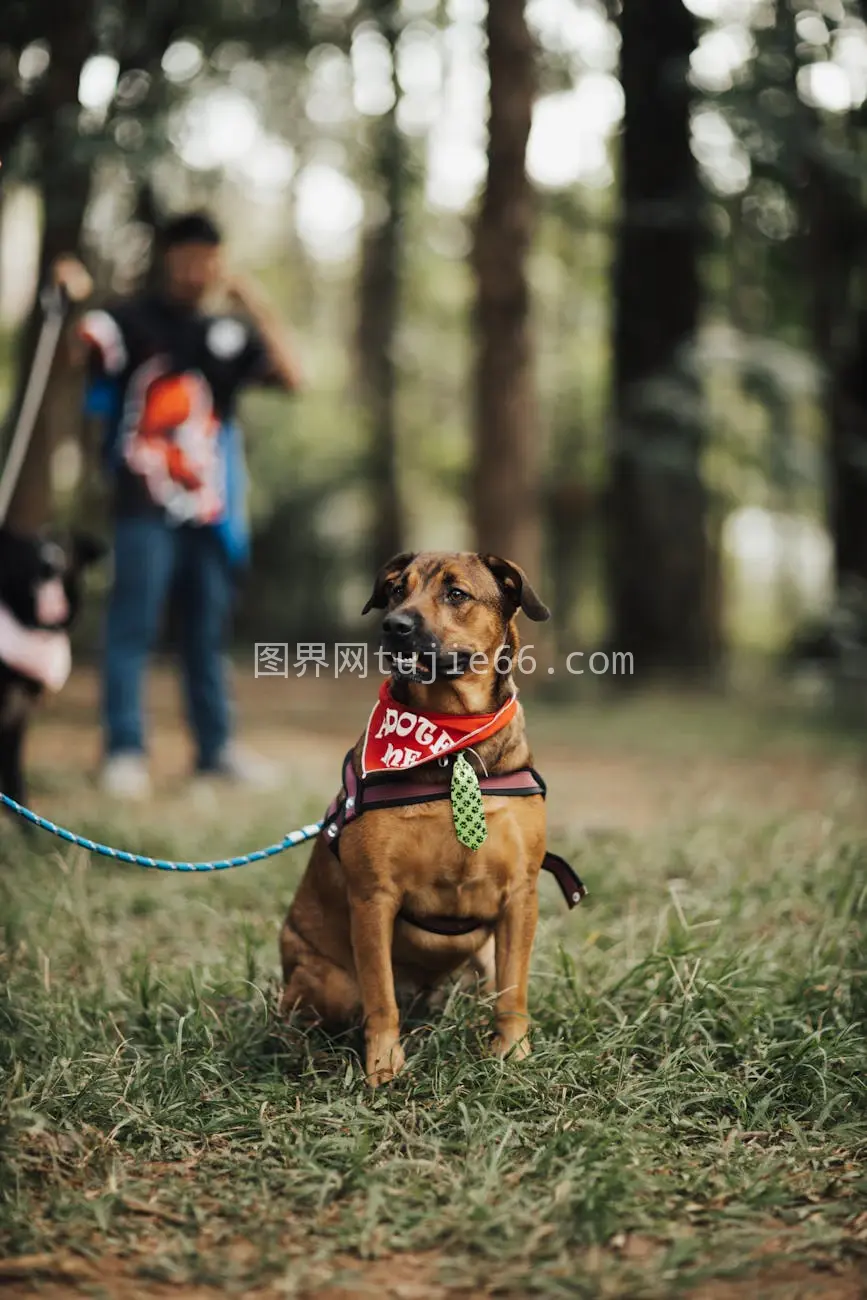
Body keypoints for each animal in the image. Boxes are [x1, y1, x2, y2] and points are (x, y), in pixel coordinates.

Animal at [282, 551, 558, 1086]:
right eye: (395, 590)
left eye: (456, 593)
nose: (394, 625)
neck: (454, 742)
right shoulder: (373, 897)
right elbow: (380, 998)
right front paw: (383, 1066)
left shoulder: (521, 894)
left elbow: (513, 991)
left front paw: (513, 1054)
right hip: (324, 981)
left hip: (479, 960)